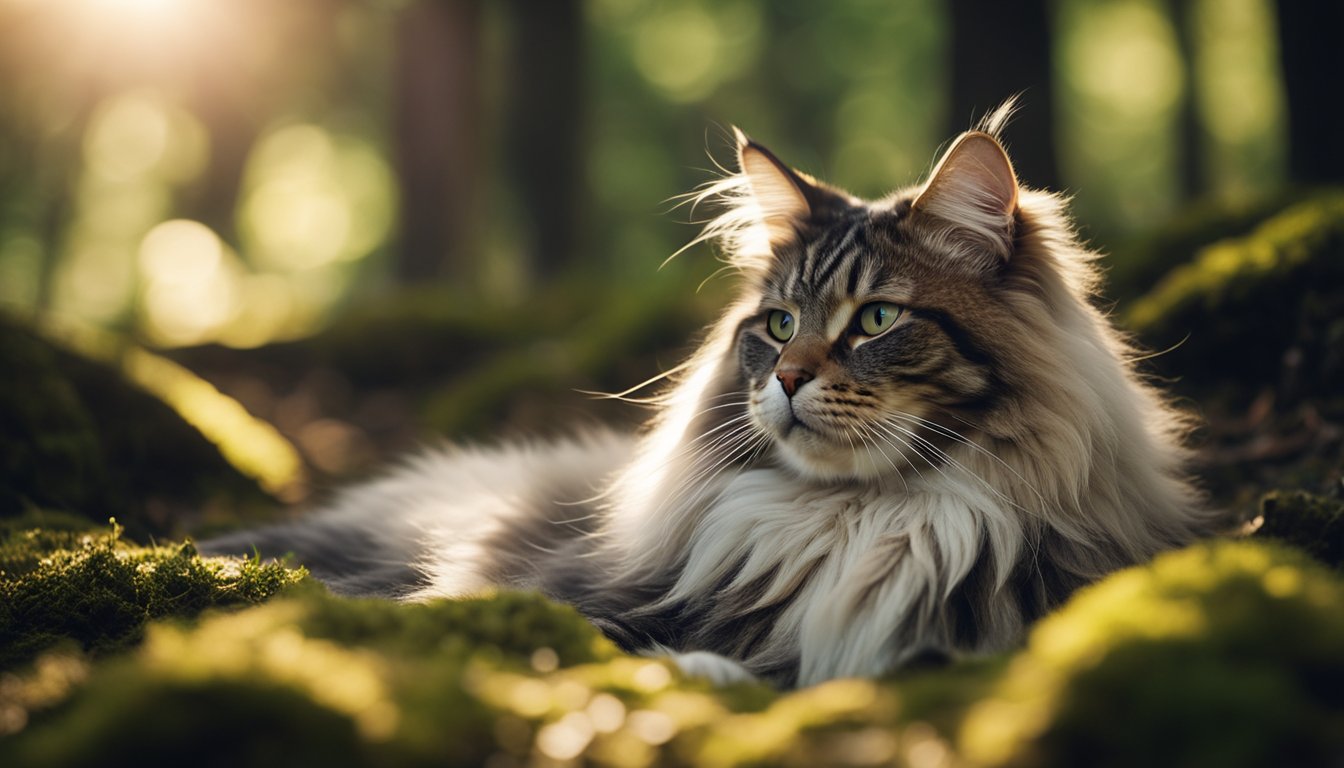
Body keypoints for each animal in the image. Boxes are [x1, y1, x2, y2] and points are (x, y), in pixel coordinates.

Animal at [198, 104, 1220, 688]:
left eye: (877, 318)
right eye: (776, 323)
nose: (789, 378)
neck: (863, 520)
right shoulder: (562, 595)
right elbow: (634, 642)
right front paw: (700, 670)